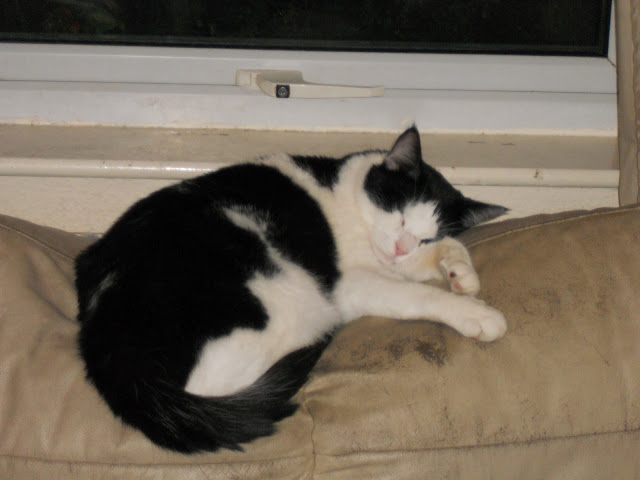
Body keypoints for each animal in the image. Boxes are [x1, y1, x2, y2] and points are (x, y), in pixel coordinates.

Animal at [75, 126, 508, 454]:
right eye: (399, 214)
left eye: (423, 237)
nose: (401, 248)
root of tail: (109, 342)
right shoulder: (351, 284)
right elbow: (415, 296)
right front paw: (476, 313)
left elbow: (444, 252)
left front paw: (460, 273)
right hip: (291, 298)